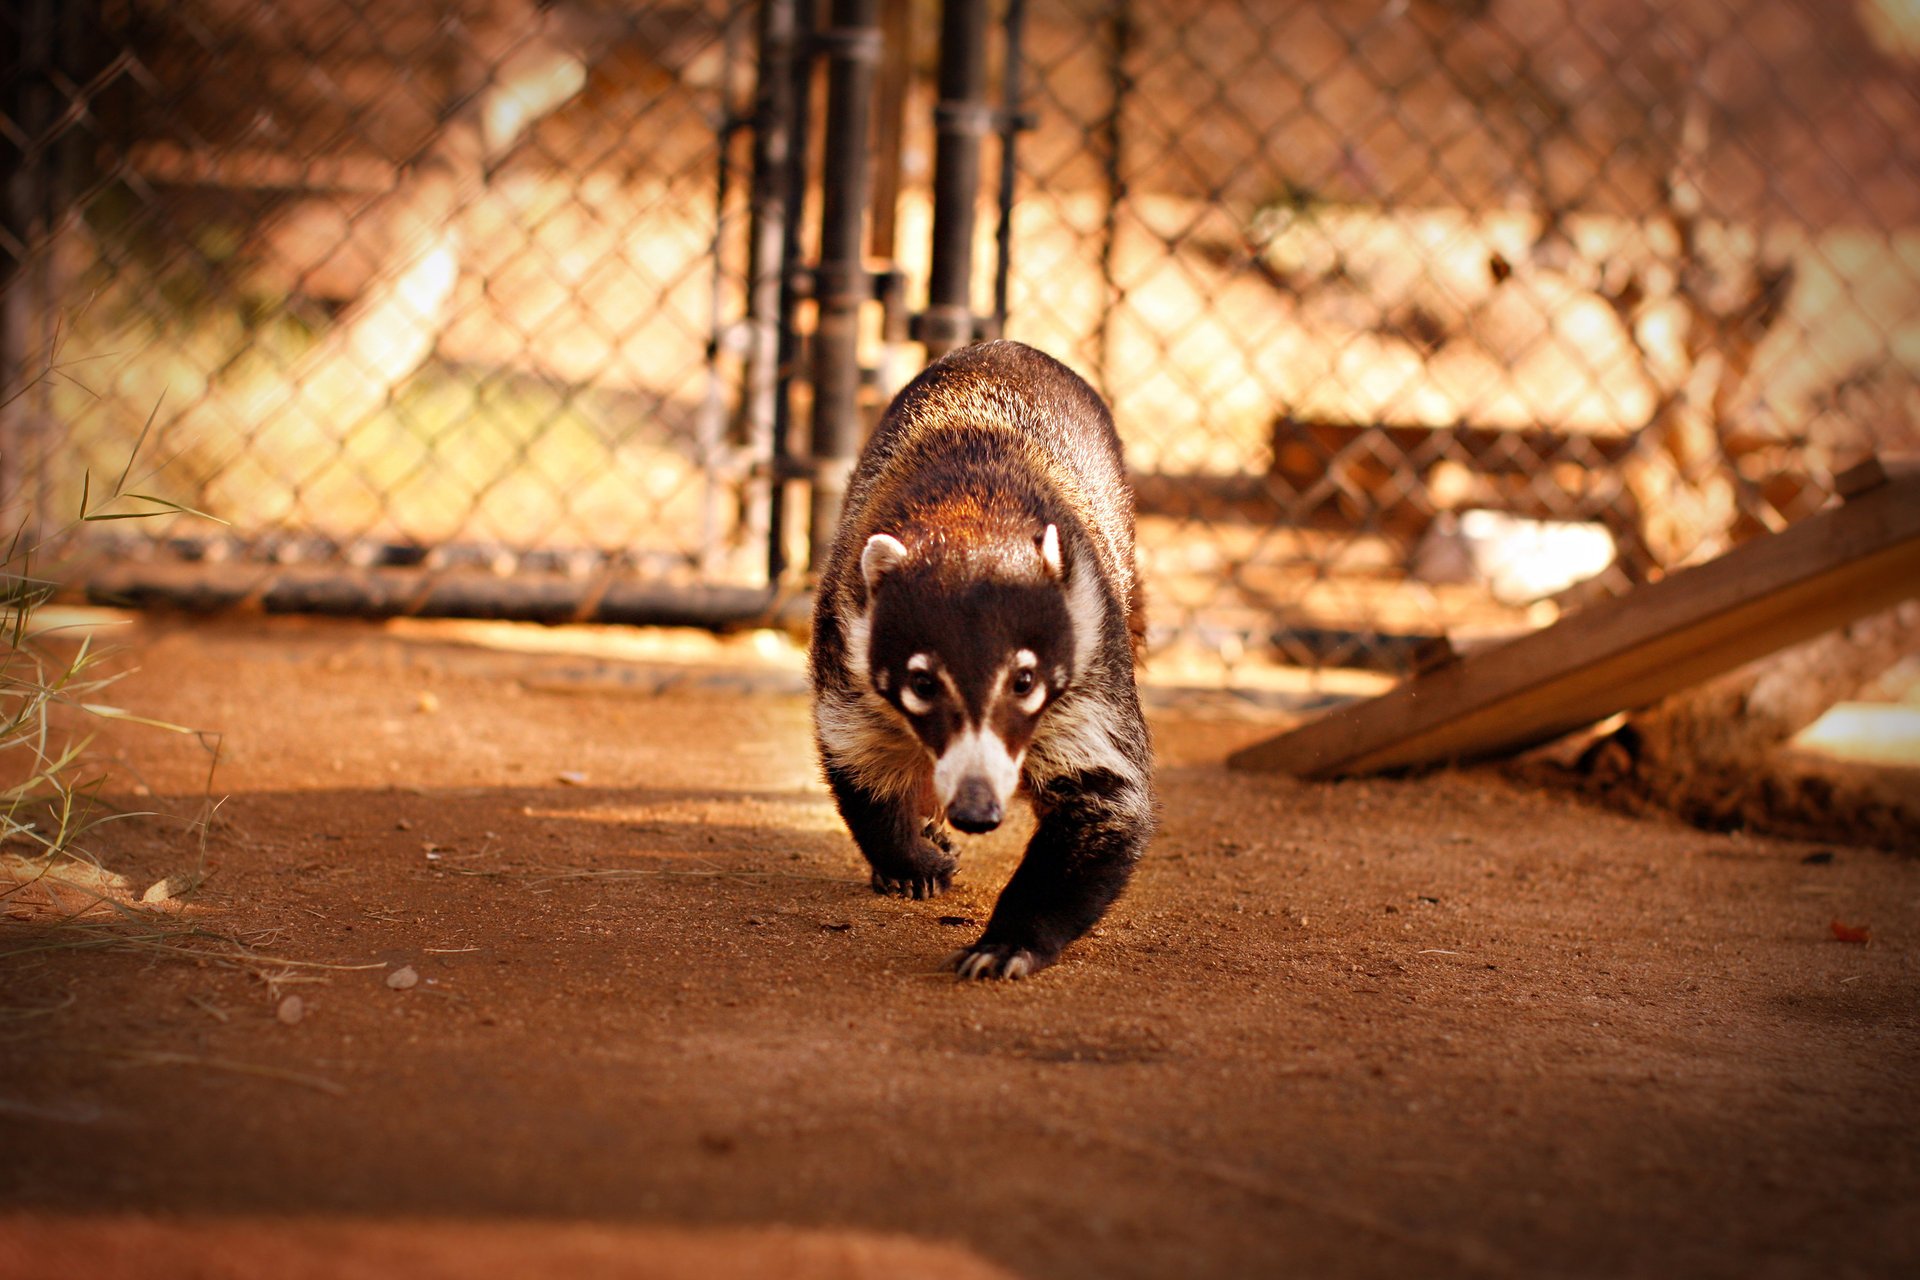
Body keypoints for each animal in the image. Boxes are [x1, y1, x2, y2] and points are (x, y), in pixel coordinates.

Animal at [809, 341, 1155, 979]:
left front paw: (1012, 936)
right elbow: (856, 756)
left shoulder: (1093, 651)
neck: (972, 520)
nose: (974, 812)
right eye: (922, 683)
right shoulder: (843, 635)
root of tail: (1006, 347)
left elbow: (1108, 796)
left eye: (1024, 681)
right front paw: (908, 855)